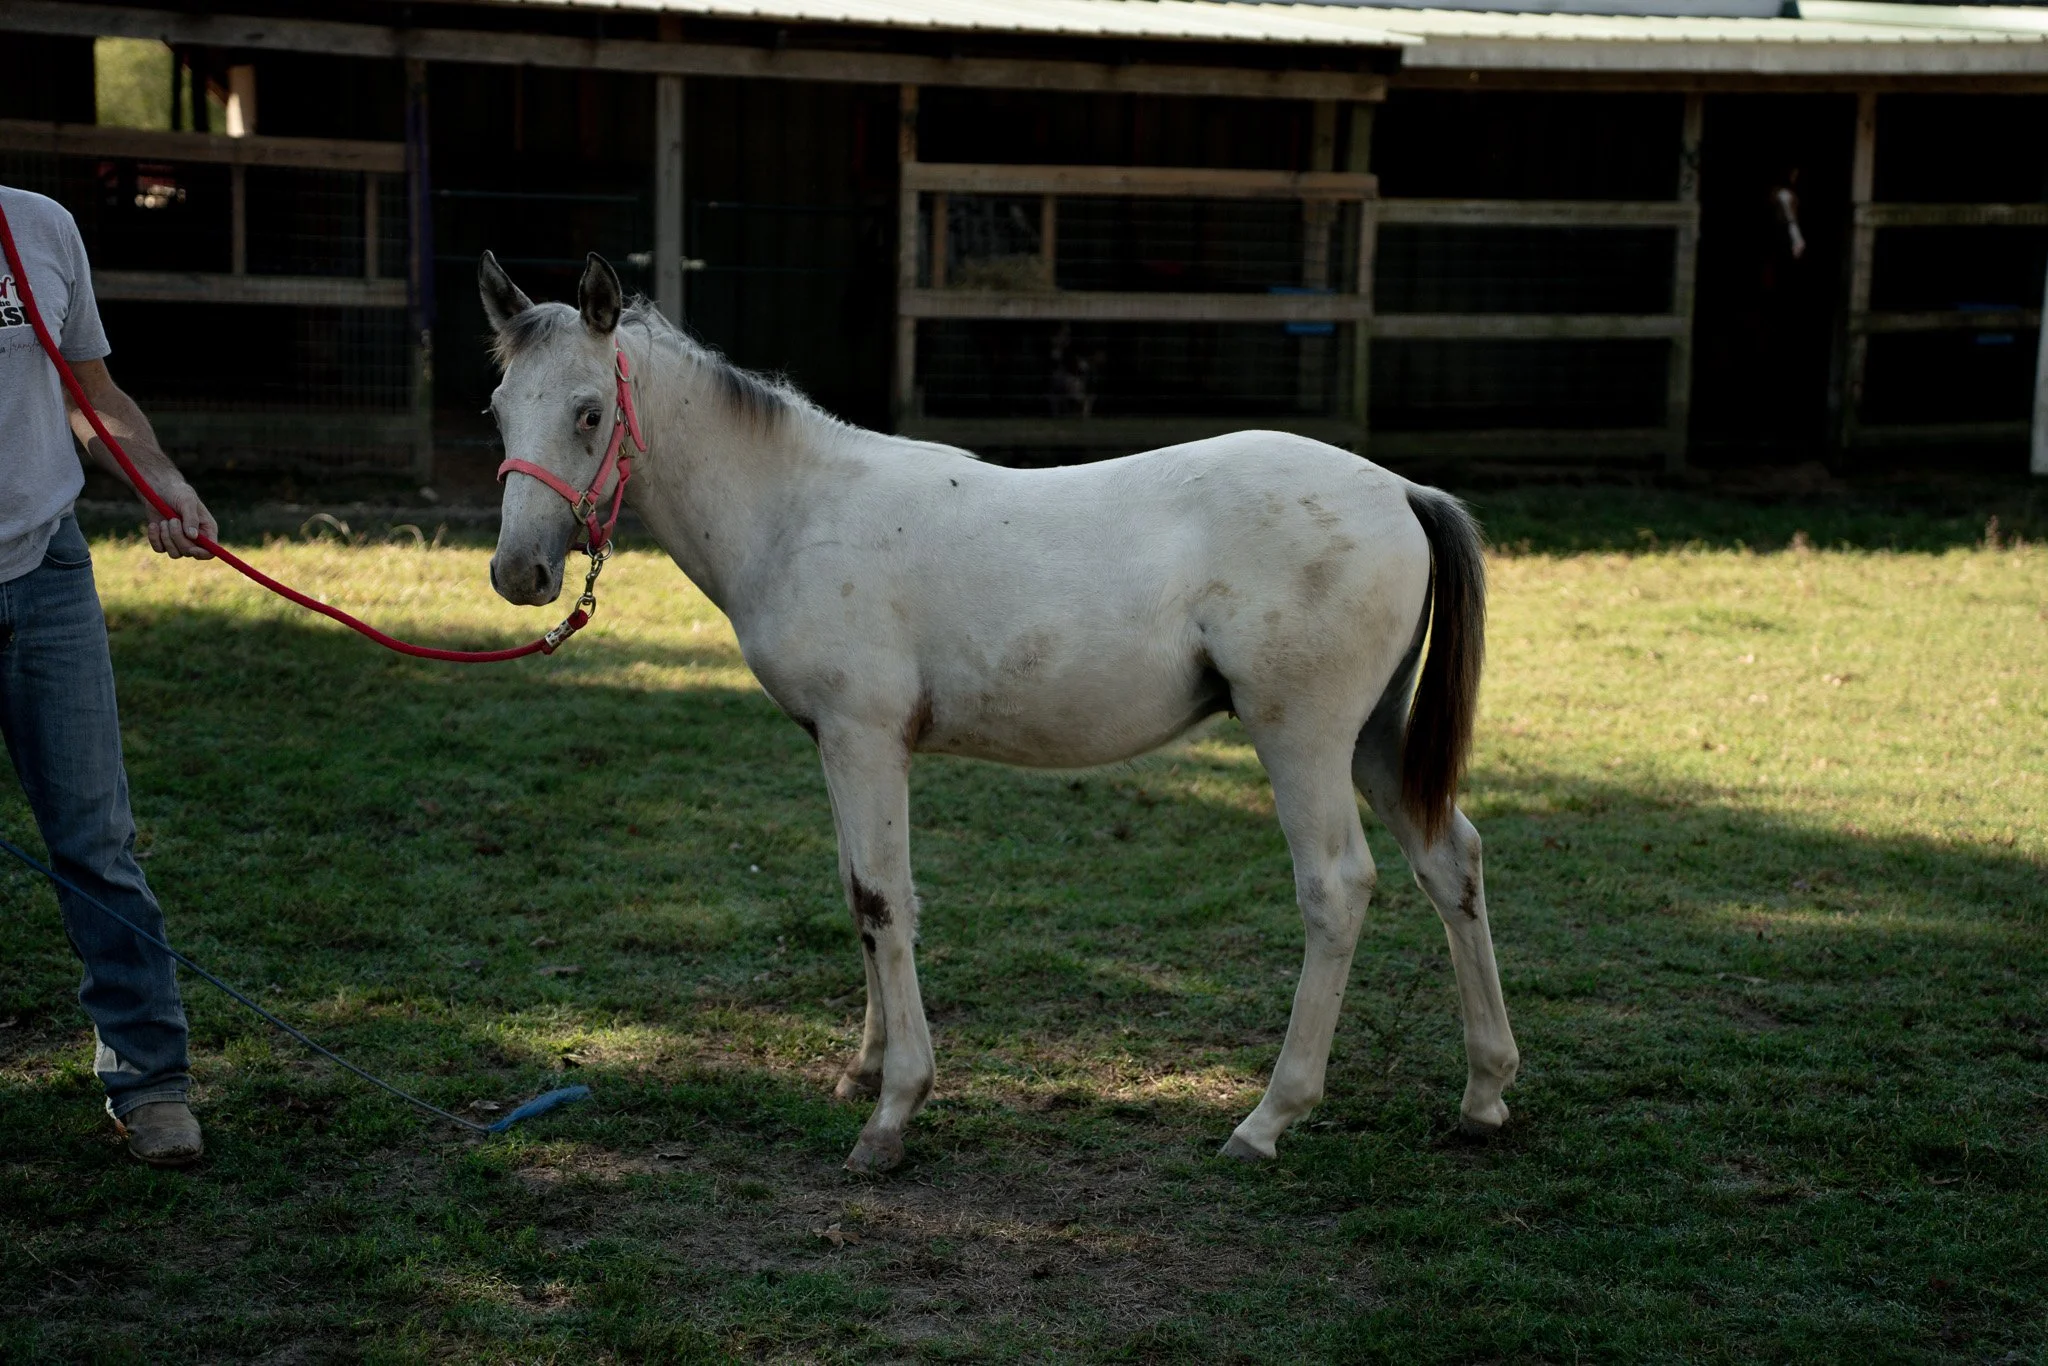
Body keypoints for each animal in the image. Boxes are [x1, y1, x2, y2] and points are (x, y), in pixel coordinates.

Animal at [479, 251, 1520, 1174]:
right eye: (498, 408)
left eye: (589, 411)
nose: (519, 573)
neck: (799, 511)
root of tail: (1401, 490)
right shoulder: (839, 745)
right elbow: (858, 895)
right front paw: (865, 1072)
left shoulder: (865, 740)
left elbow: (882, 899)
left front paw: (893, 1115)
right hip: (1374, 739)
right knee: (1450, 860)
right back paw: (1482, 1096)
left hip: (1301, 738)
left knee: (1337, 889)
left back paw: (1267, 1121)